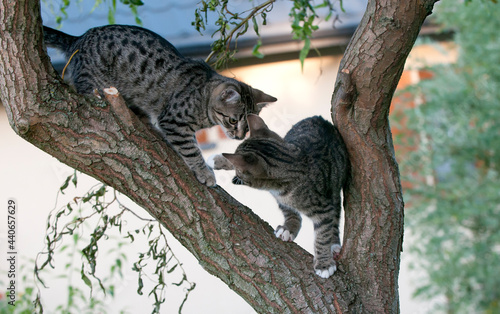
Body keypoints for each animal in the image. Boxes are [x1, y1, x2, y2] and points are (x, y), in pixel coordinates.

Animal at [44, 25, 278, 186]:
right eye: (232, 120)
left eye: (247, 126)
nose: (239, 136)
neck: (203, 100)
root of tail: (79, 38)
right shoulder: (173, 121)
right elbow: (192, 150)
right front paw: (204, 172)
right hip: (93, 83)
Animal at [210, 114, 348, 278]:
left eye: (239, 172)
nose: (236, 177)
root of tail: (319, 118)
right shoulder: (279, 197)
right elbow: (289, 211)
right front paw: (289, 227)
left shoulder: (324, 207)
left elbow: (323, 234)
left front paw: (324, 263)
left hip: (335, 187)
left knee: (335, 218)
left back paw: (334, 245)